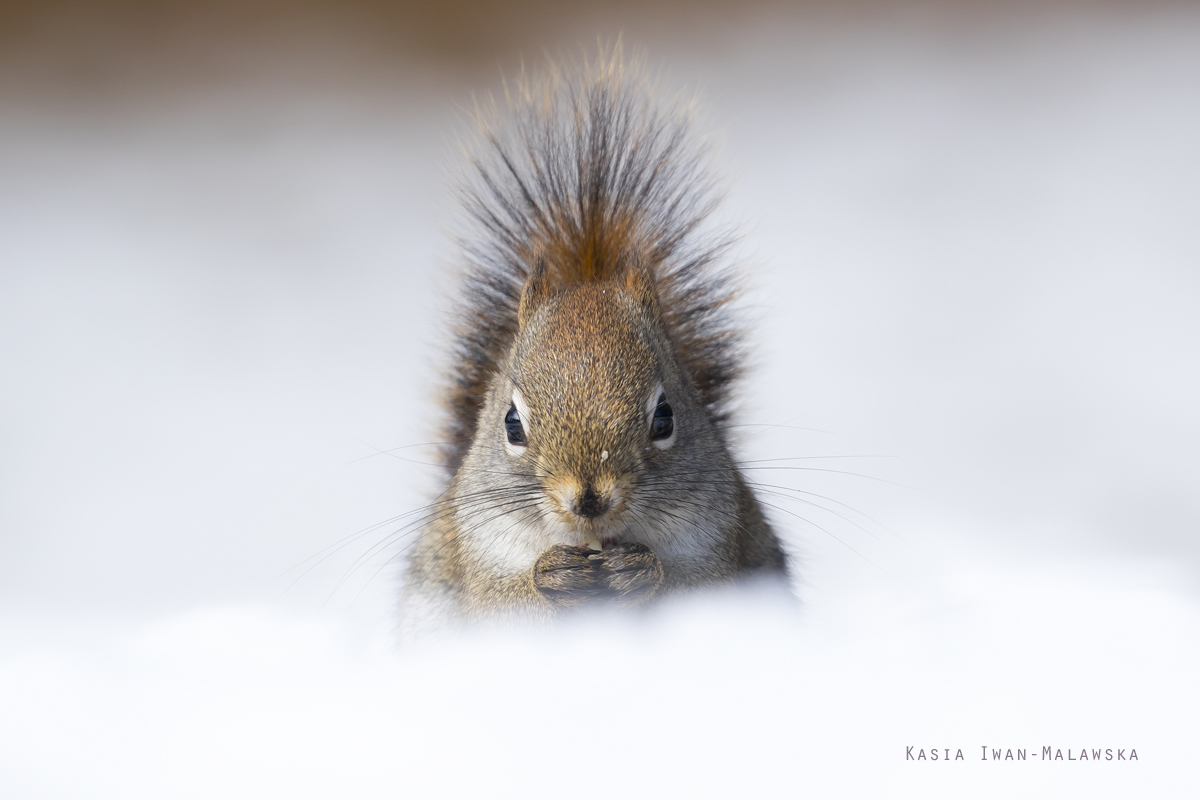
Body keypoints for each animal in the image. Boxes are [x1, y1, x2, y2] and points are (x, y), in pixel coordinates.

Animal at [396, 50, 787, 638]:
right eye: (511, 424)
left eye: (665, 418)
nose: (588, 498)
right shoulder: (477, 559)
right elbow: (501, 603)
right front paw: (550, 577)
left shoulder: (723, 544)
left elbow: (695, 587)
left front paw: (639, 572)